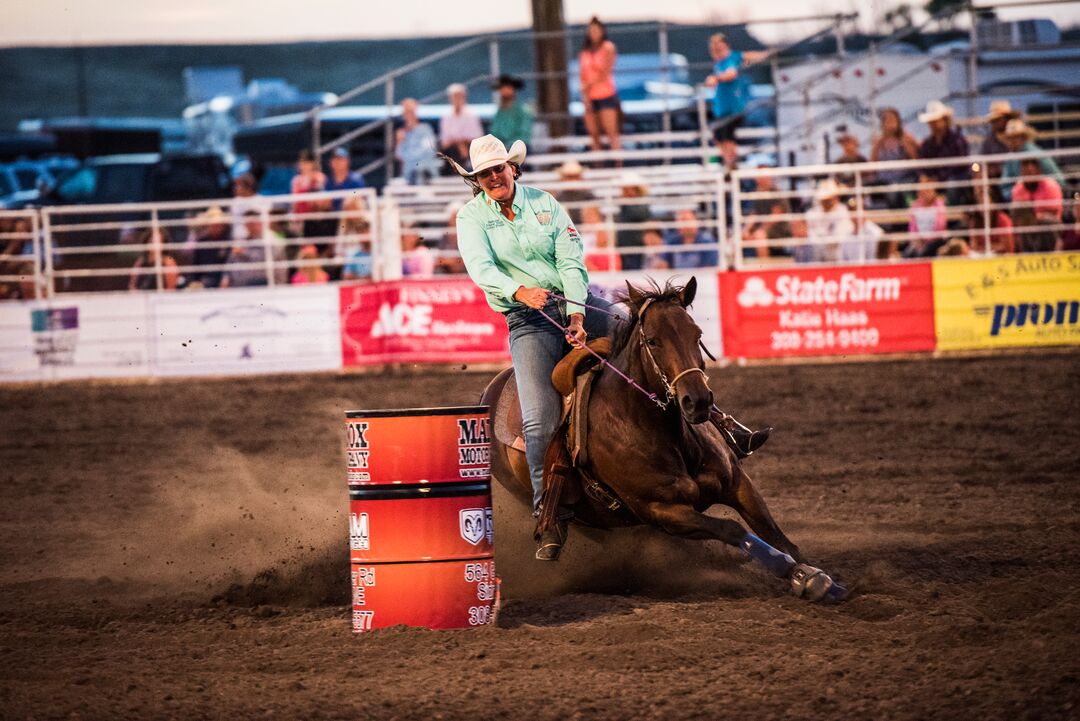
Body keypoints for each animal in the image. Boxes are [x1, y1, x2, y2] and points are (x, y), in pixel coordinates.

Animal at [479, 278, 842, 604]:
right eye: (653, 341)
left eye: (697, 334)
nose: (698, 402)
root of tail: (490, 391)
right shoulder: (664, 512)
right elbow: (736, 531)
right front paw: (799, 576)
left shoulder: (738, 483)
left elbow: (777, 536)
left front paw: (814, 574)